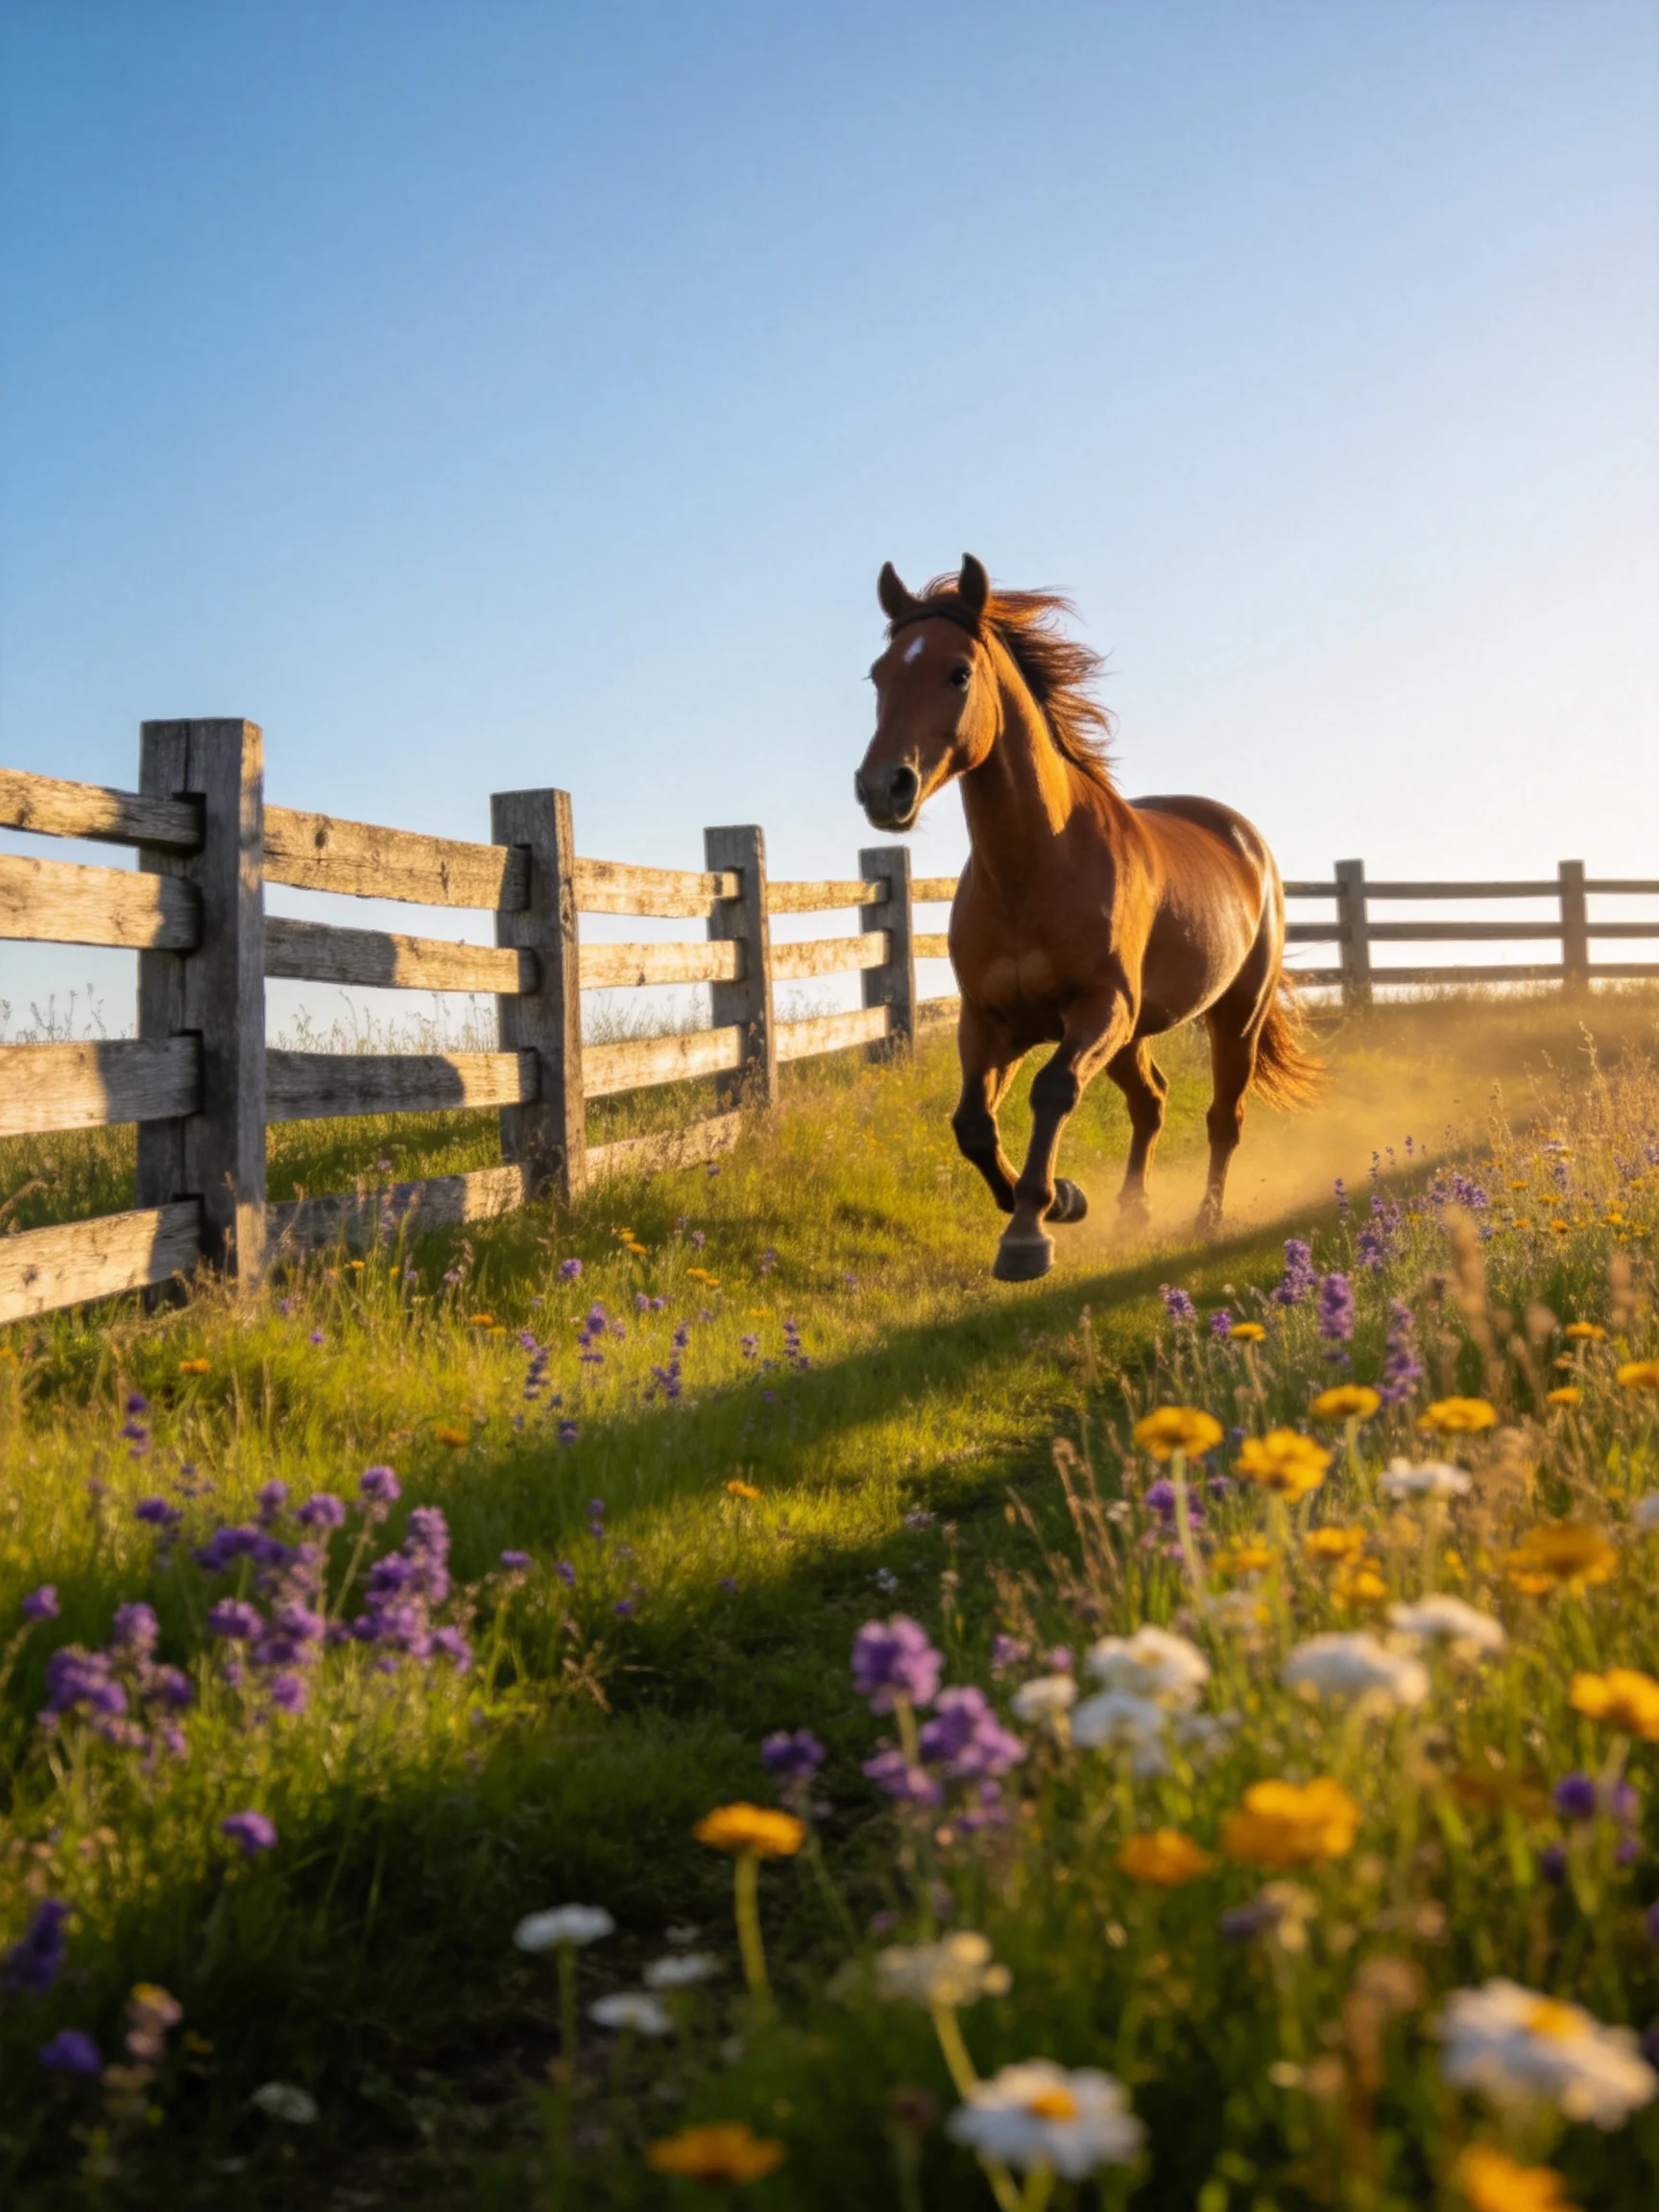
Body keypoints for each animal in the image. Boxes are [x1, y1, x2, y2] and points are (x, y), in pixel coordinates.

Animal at [854, 555, 1319, 1283]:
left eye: (958, 673)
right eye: (878, 674)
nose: (883, 788)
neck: (1033, 869)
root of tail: (1247, 843)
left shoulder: (1099, 1008)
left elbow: (1052, 1091)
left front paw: (1030, 1230)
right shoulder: (991, 1022)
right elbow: (972, 1124)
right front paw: (1063, 1200)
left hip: (1233, 1015)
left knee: (1224, 1117)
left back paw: (1205, 1218)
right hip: (1134, 1035)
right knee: (1151, 1102)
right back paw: (1132, 1212)